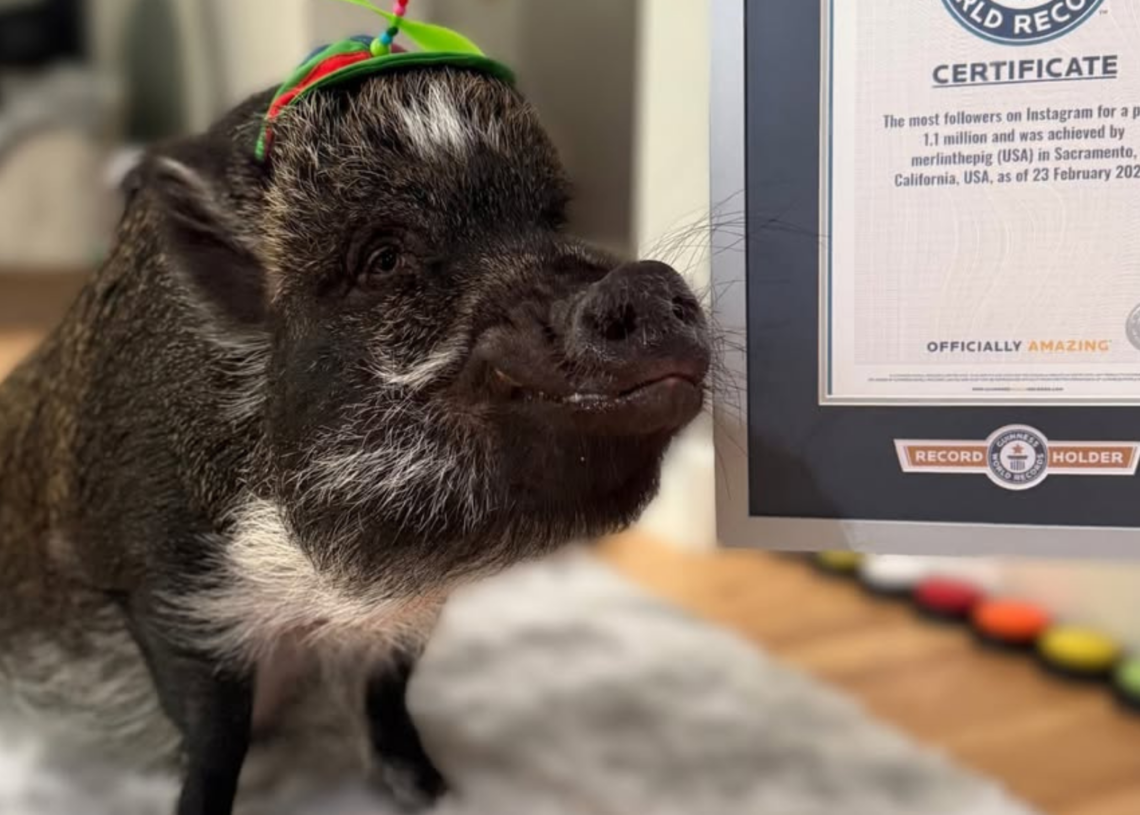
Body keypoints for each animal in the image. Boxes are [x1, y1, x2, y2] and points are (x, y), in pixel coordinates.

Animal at [0, 64, 710, 815]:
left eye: (551, 220)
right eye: (383, 259)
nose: (646, 279)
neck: (326, 592)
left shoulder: (400, 620)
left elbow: (387, 702)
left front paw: (438, 794)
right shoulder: (163, 586)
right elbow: (218, 737)